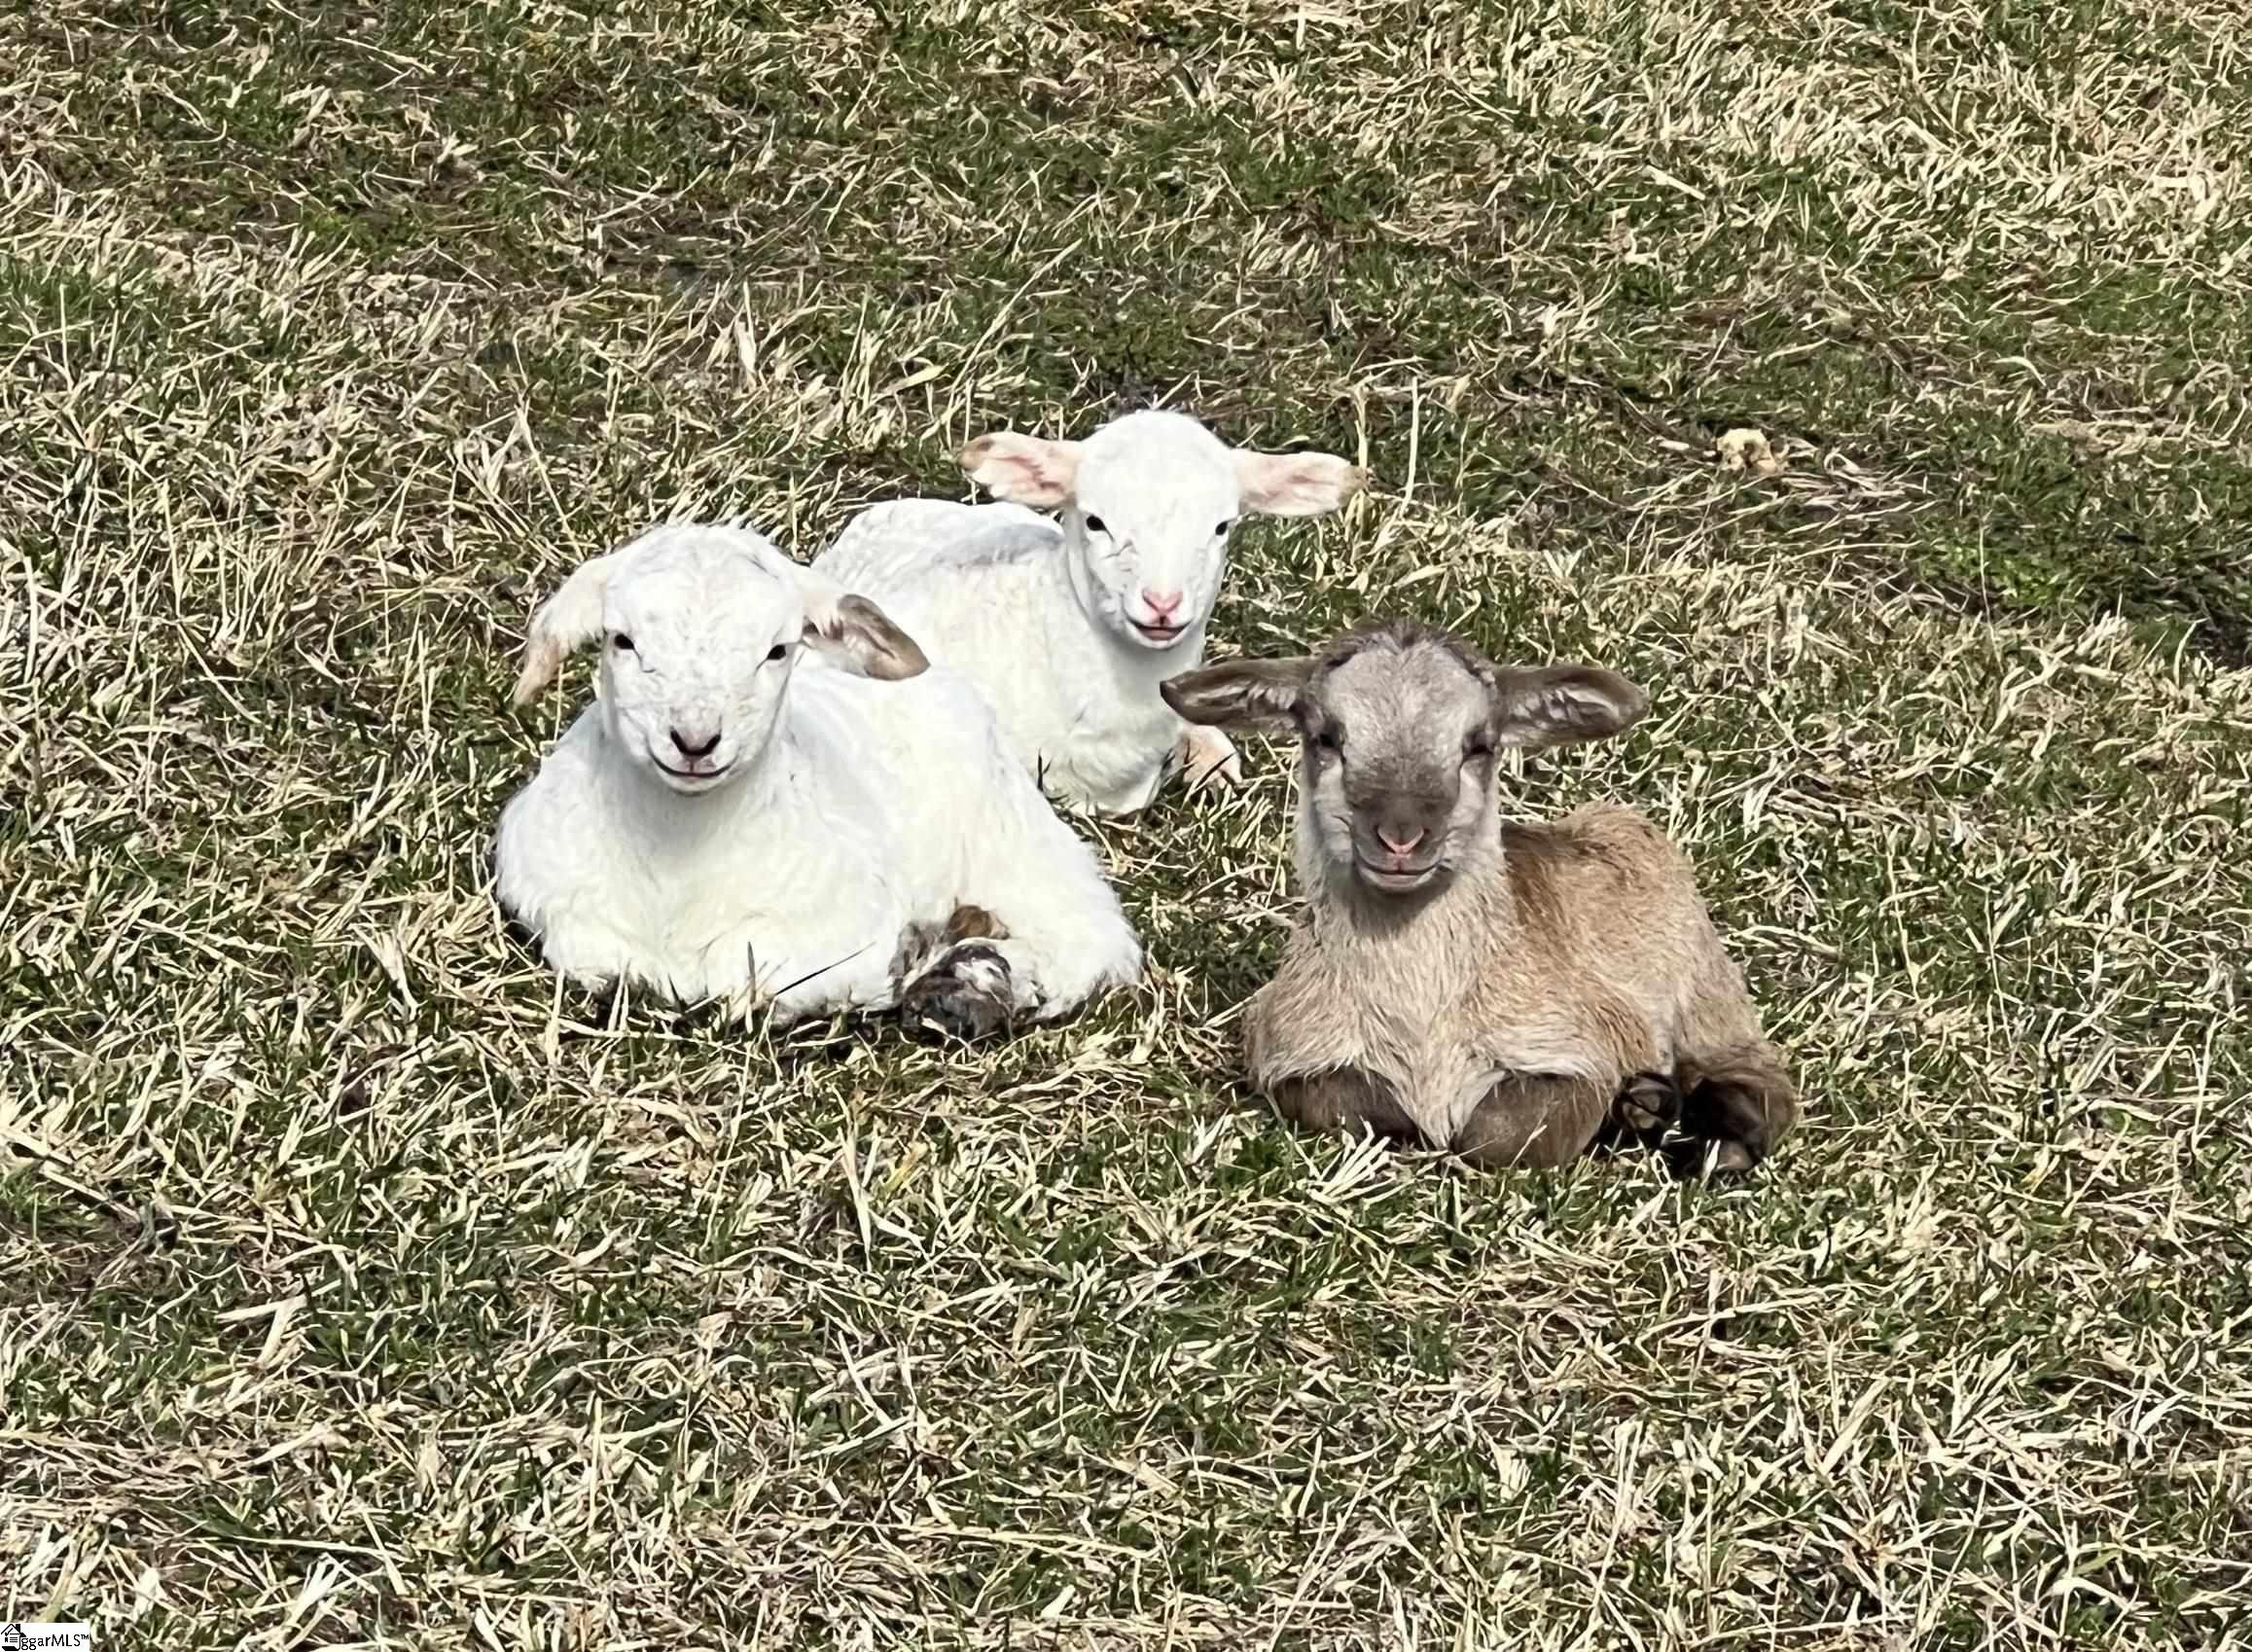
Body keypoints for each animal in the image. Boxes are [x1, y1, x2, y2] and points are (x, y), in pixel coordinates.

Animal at [494, 521, 1144, 1035]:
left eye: (777, 650)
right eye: (622, 640)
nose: (695, 741)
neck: (678, 859)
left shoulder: (848, 921)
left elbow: (746, 970)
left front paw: (904, 962)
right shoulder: (551, 900)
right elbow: (603, 960)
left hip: (1016, 843)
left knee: (1091, 940)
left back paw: (977, 981)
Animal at [1160, 619, 1799, 1174]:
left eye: (1479, 745)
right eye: (1326, 737)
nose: (1400, 835)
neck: (1423, 1027)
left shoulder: (1577, 1044)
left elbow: (1497, 1133)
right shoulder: (1288, 1052)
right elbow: (1357, 1110)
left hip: (1702, 981)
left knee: (1757, 1072)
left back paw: (1710, 1138)